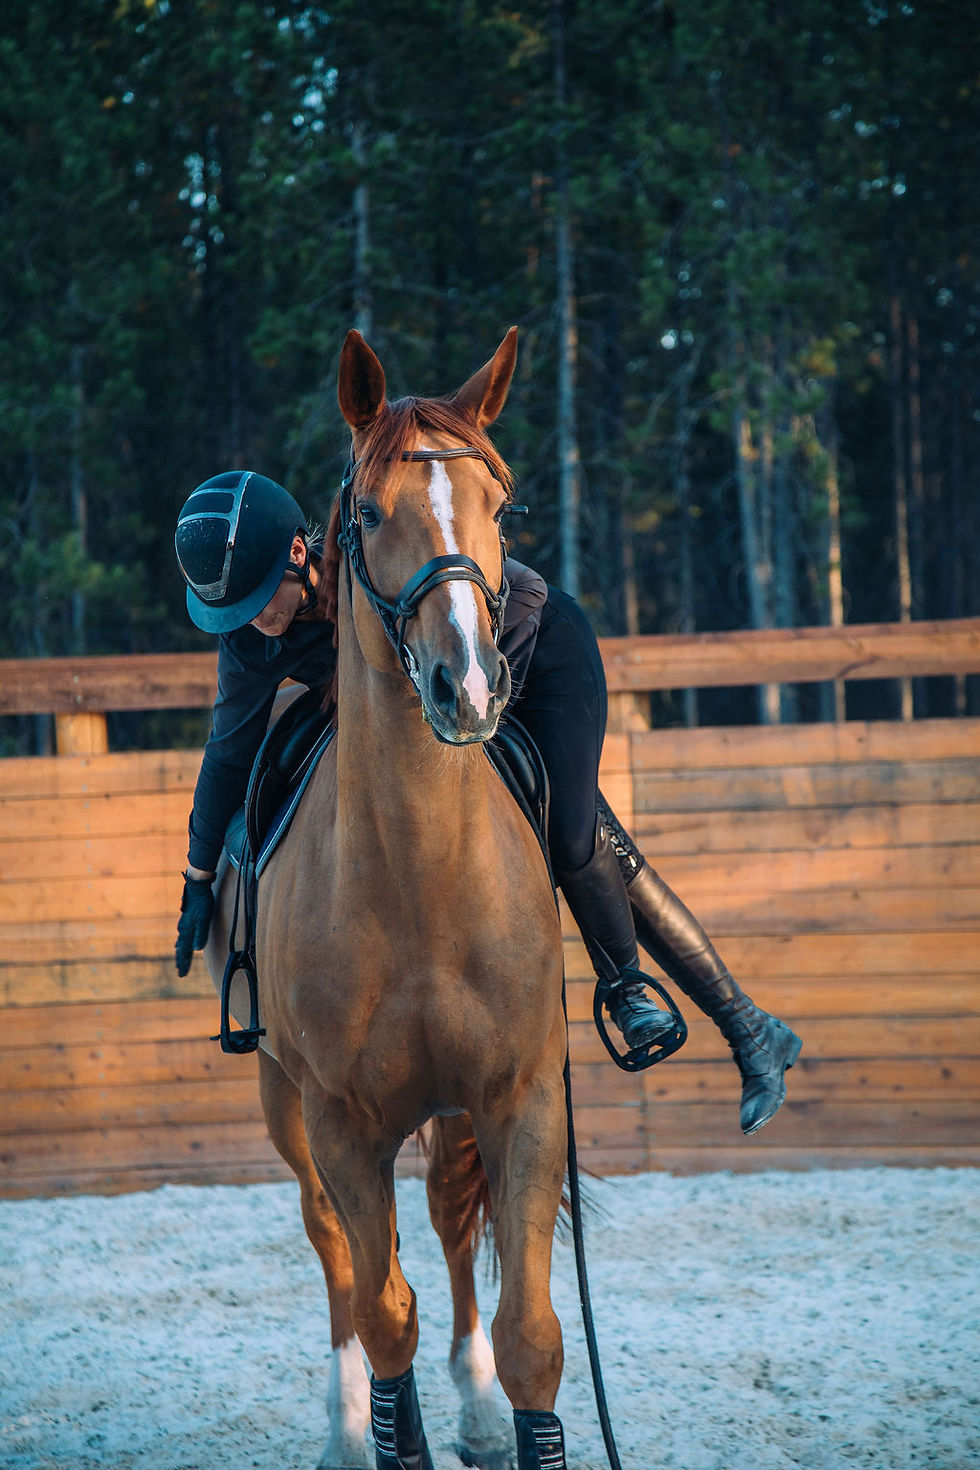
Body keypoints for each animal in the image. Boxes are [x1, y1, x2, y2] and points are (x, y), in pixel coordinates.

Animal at [205, 327, 571, 1470]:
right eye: (368, 513)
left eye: (503, 503)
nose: (469, 684)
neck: (417, 879)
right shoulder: (342, 1122)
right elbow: (382, 1312)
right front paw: (380, 1427)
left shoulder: (518, 1099)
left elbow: (532, 1333)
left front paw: (498, 1406)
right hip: (283, 1101)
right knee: (337, 1256)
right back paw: (343, 1423)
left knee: (451, 1230)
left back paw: (478, 1411)